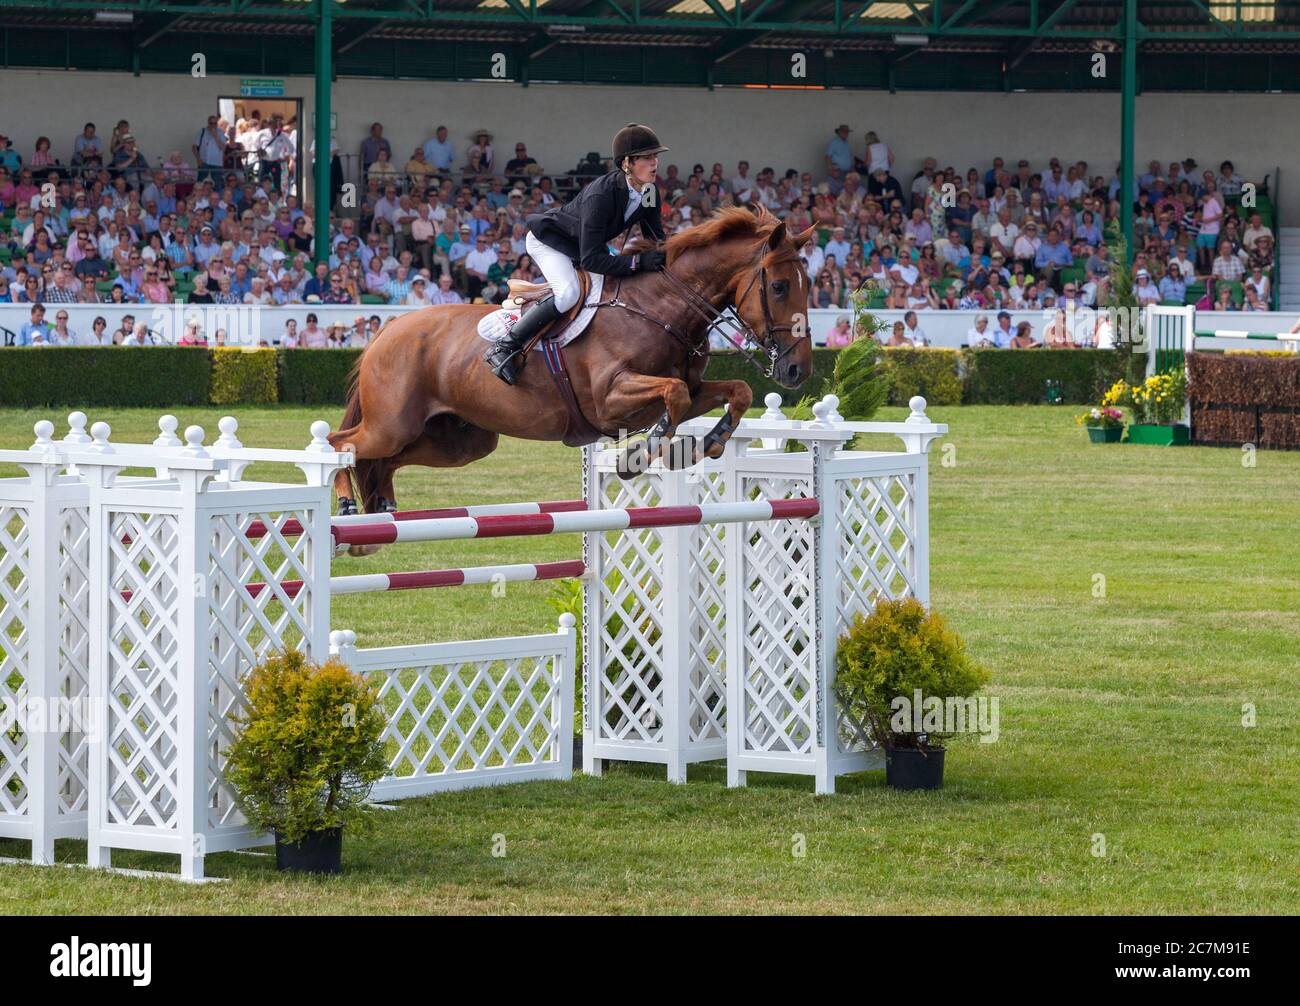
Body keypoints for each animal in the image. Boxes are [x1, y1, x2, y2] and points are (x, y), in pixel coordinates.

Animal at [327, 207, 811, 517]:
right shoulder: (610, 399)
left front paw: (708, 442)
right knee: (339, 442)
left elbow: (736, 391)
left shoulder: (692, 391)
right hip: (393, 423)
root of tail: (389, 329)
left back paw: (383, 502)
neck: (662, 305)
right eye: (780, 286)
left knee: (385, 461)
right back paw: (347, 501)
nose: (797, 371)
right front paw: (638, 454)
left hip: (461, 440)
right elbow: (670, 397)